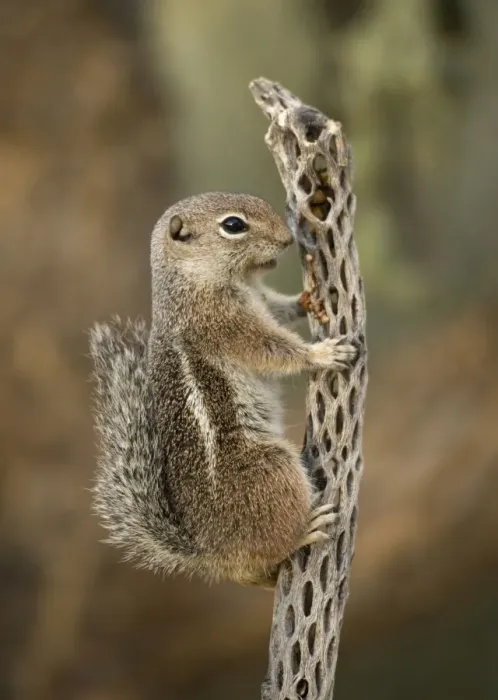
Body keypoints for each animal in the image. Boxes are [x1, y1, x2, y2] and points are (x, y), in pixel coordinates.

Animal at [89, 192, 356, 588]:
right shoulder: (224, 324)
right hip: (271, 469)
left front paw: (305, 300)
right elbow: (270, 349)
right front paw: (320, 354)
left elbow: (279, 310)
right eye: (233, 225)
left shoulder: (261, 301)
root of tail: (213, 555)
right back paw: (306, 528)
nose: (286, 240)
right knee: (276, 542)